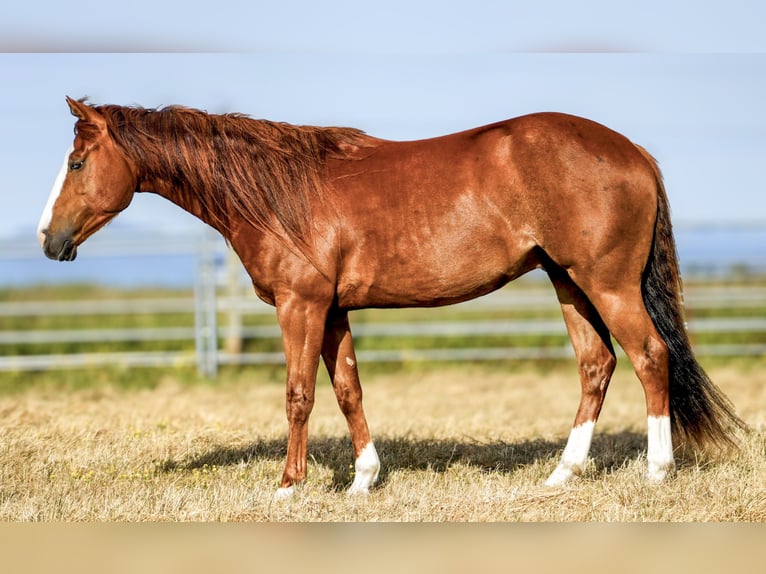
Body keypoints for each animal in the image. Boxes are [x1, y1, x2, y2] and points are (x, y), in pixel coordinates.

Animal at [38, 97, 744, 499]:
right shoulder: (333, 311)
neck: (278, 192)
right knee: (596, 365)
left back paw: (657, 472)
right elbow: (349, 390)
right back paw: (561, 475)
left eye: (76, 164)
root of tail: (632, 151)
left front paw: (288, 487)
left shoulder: (301, 305)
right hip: (568, 281)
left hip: (607, 283)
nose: (48, 239)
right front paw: (363, 481)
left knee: (650, 357)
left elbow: (299, 394)